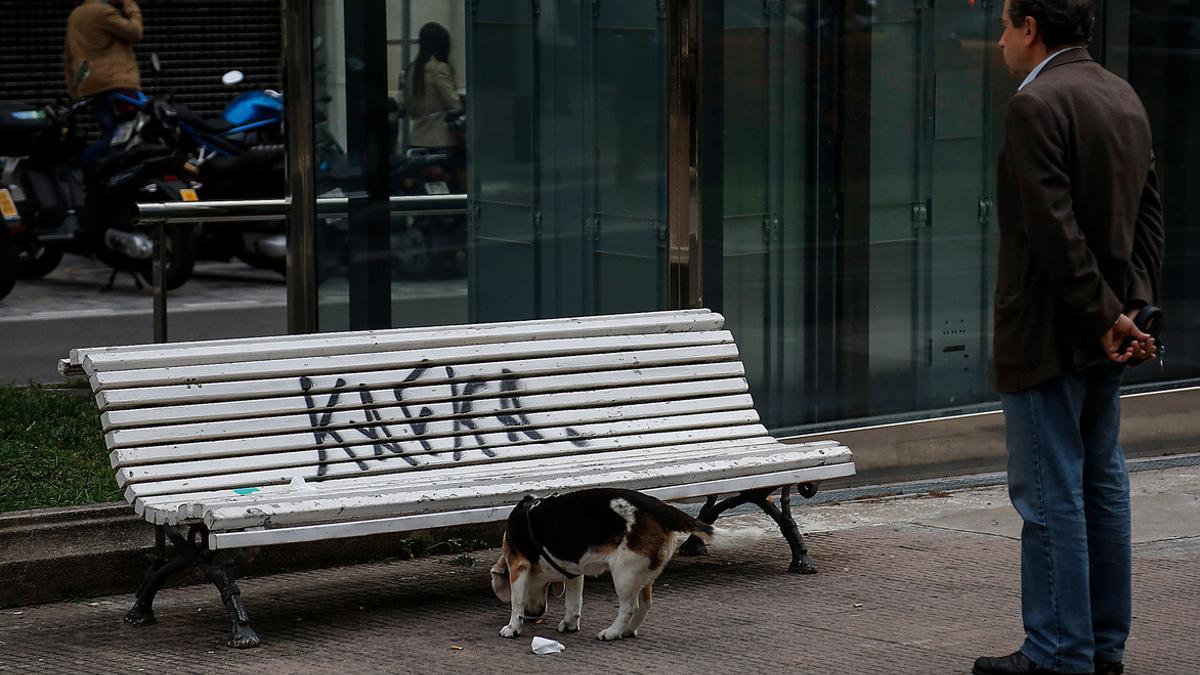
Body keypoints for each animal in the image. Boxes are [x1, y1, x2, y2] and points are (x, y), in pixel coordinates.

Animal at [487, 485, 710, 638]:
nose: (537, 613)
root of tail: (660, 508)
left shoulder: (518, 566)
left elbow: (517, 602)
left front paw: (513, 627)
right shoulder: (573, 572)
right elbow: (573, 603)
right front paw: (570, 624)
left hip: (624, 574)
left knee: (630, 607)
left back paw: (612, 632)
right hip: (642, 574)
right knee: (645, 605)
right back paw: (627, 631)